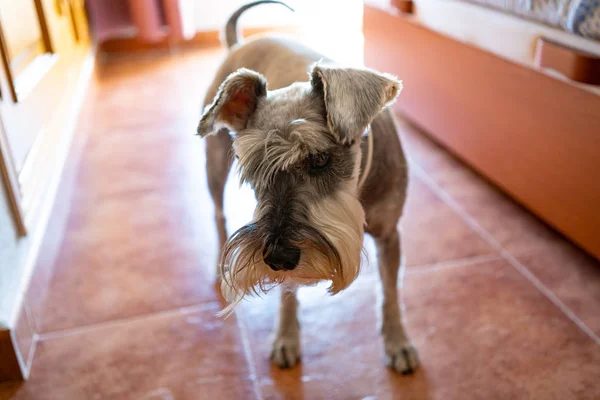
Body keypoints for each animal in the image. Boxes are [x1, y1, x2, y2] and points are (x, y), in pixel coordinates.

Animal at [197, 0, 418, 376]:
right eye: (252, 165)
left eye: (319, 160)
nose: (276, 256)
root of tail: (240, 43)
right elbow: (288, 294)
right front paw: (286, 338)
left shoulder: (390, 234)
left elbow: (390, 292)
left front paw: (398, 342)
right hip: (213, 167)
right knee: (217, 214)